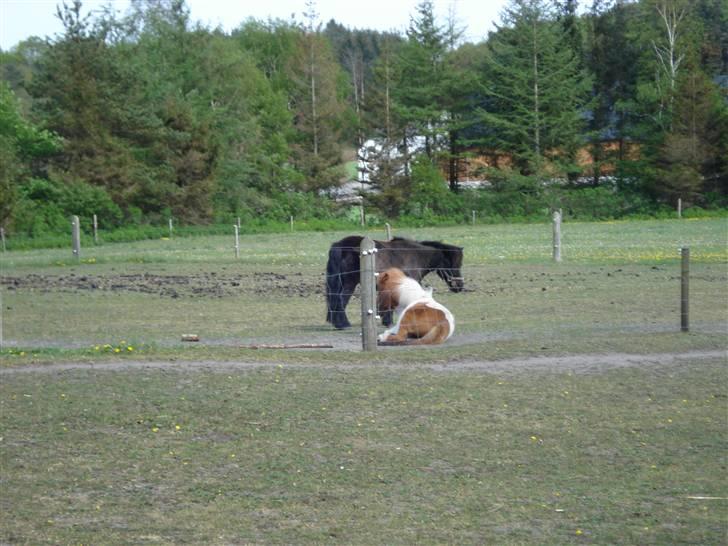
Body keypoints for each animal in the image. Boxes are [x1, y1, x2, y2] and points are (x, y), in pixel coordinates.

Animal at [326, 234, 464, 328]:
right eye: (453, 265)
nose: (460, 286)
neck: (415, 255)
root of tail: (341, 245)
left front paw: (387, 321)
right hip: (349, 283)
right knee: (341, 299)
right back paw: (343, 324)